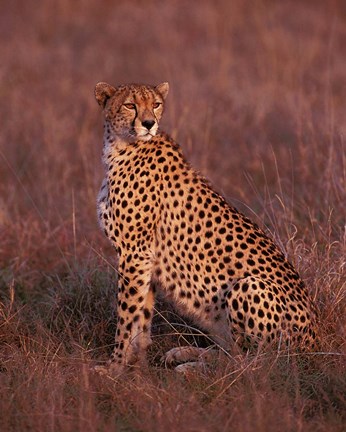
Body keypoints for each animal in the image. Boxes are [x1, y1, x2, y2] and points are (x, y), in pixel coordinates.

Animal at [93, 82, 318, 374]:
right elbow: (141, 316)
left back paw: (191, 367)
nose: (149, 123)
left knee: (252, 364)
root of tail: (313, 344)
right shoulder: (145, 258)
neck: (121, 146)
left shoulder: (135, 253)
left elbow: (126, 315)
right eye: (130, 105)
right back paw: (186, 353)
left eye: (155, 104)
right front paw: (137, 362)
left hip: (249, 287)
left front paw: (115, 367)